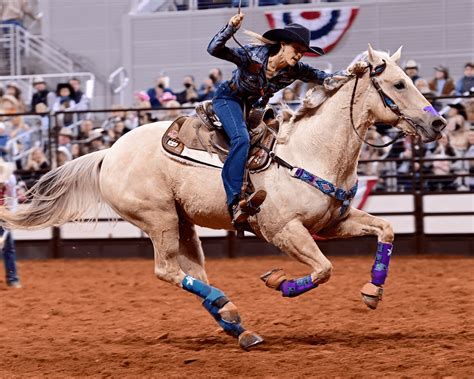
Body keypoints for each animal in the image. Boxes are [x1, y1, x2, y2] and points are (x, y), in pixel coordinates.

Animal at [0, 46, 444, 350]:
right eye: (399, 84)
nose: (438, 122)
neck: (310, 151)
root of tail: (109, 153)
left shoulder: (333, 222)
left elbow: (386, 229)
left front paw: (373, 292)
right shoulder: (284, 230)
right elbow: (323, 270)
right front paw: (279, 282)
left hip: (182, 223)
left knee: (194, 273)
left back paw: (236, 323)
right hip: (158, 218)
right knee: (166, 270)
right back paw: (229, 312)